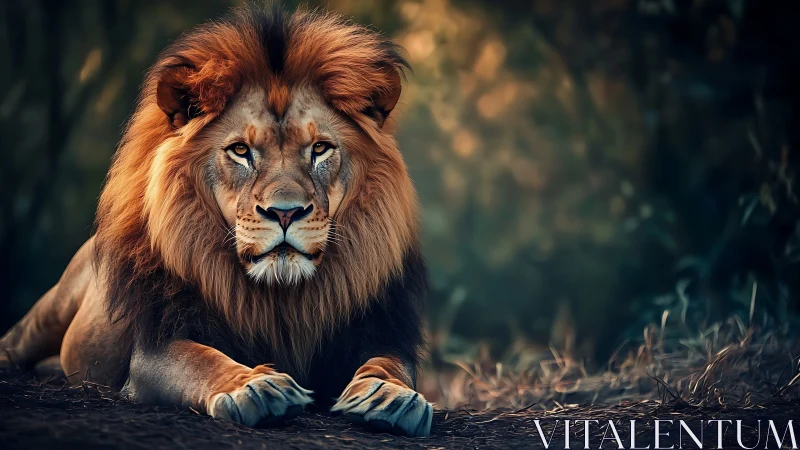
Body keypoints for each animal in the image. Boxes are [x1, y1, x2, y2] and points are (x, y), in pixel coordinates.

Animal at [0, 6, 432, 437]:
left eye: (320, 149)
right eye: (240, 151)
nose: (285, 212)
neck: (282, 297)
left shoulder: (380, 332)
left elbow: (391, 365)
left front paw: (390, 396)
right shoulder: (155, 348)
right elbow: (201, 360)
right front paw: (255, 387)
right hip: (51, 308)